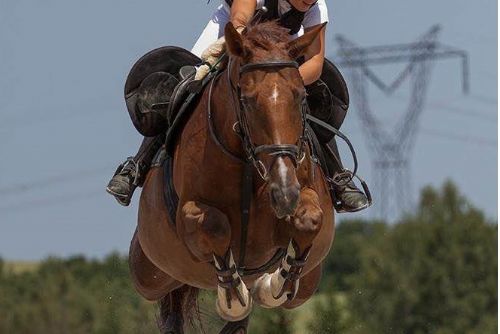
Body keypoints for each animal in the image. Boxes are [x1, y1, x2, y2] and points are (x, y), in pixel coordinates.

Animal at [129, 21, 336, 334]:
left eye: (301, 96)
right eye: (247, 101)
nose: (284, 194)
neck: (249, 165)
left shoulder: (305, 195)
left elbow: (309, 219)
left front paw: (273, 284)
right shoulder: (189, 213)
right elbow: (214, 226)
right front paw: (234, 297)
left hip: (310, 282)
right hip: (149, 270)